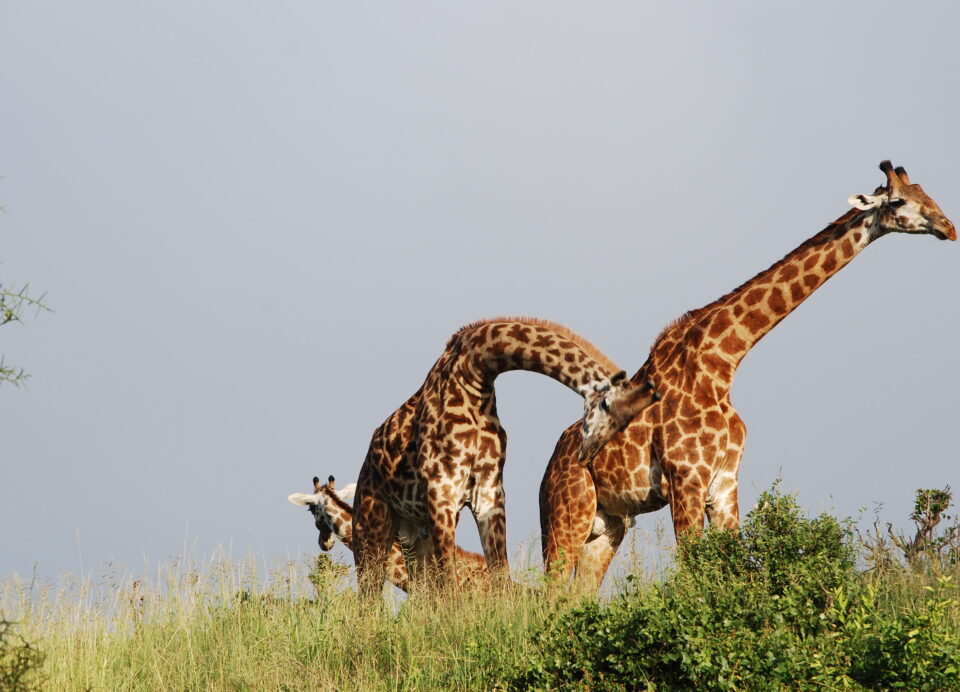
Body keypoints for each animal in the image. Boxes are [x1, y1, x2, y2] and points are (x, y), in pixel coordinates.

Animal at [352, 316, 660, 596]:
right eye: (609, 409)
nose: (585, 456)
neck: (473, 378)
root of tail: (365, 469)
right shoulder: (442, 493)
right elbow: (451, 583)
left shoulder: (489, 494)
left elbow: (499, 575)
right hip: (371, 529)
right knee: (368, 599)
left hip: (415, 535)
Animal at [540, 162, 952, 588]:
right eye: (899, 201)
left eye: (928, 193)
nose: (948, 227)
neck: (721, 363)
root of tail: (551, 463)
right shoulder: (686, 478)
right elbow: (691, 573)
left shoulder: (724, 480)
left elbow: (733, 564)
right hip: (567, 514)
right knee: (548, 592)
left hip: (609, 524)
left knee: (579, 594)